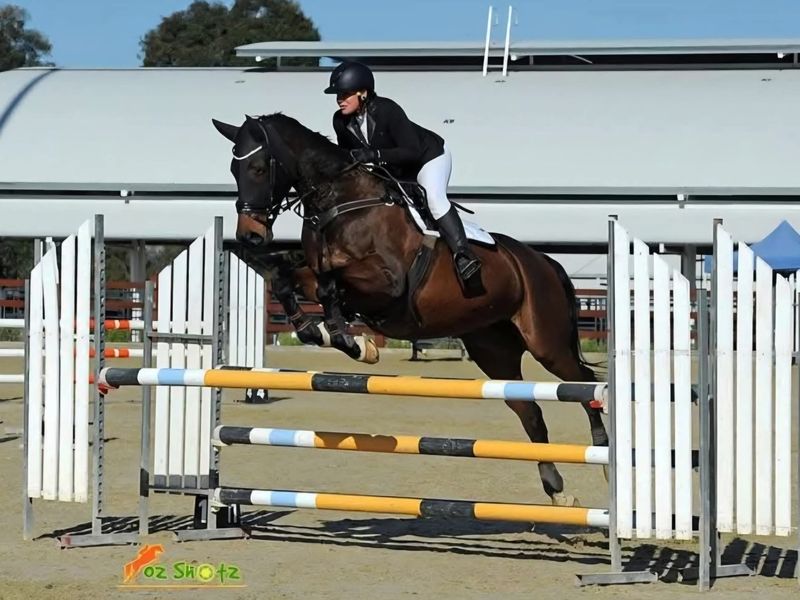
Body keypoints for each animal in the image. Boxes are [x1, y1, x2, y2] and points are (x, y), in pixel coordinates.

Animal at [212, 113, 607, 507]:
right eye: (233, 168)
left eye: (258, 169)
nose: (249, 237)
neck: (340, 202)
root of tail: (544, 262)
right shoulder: (317, 272)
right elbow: (287, 278)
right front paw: (324, 333)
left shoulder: (388, 284)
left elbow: (329, 285)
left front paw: (351, 341)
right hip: (493, 350)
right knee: (531, 411)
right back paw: (556, 488)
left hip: (546, 343)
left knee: (585, 385)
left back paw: (603, 455)